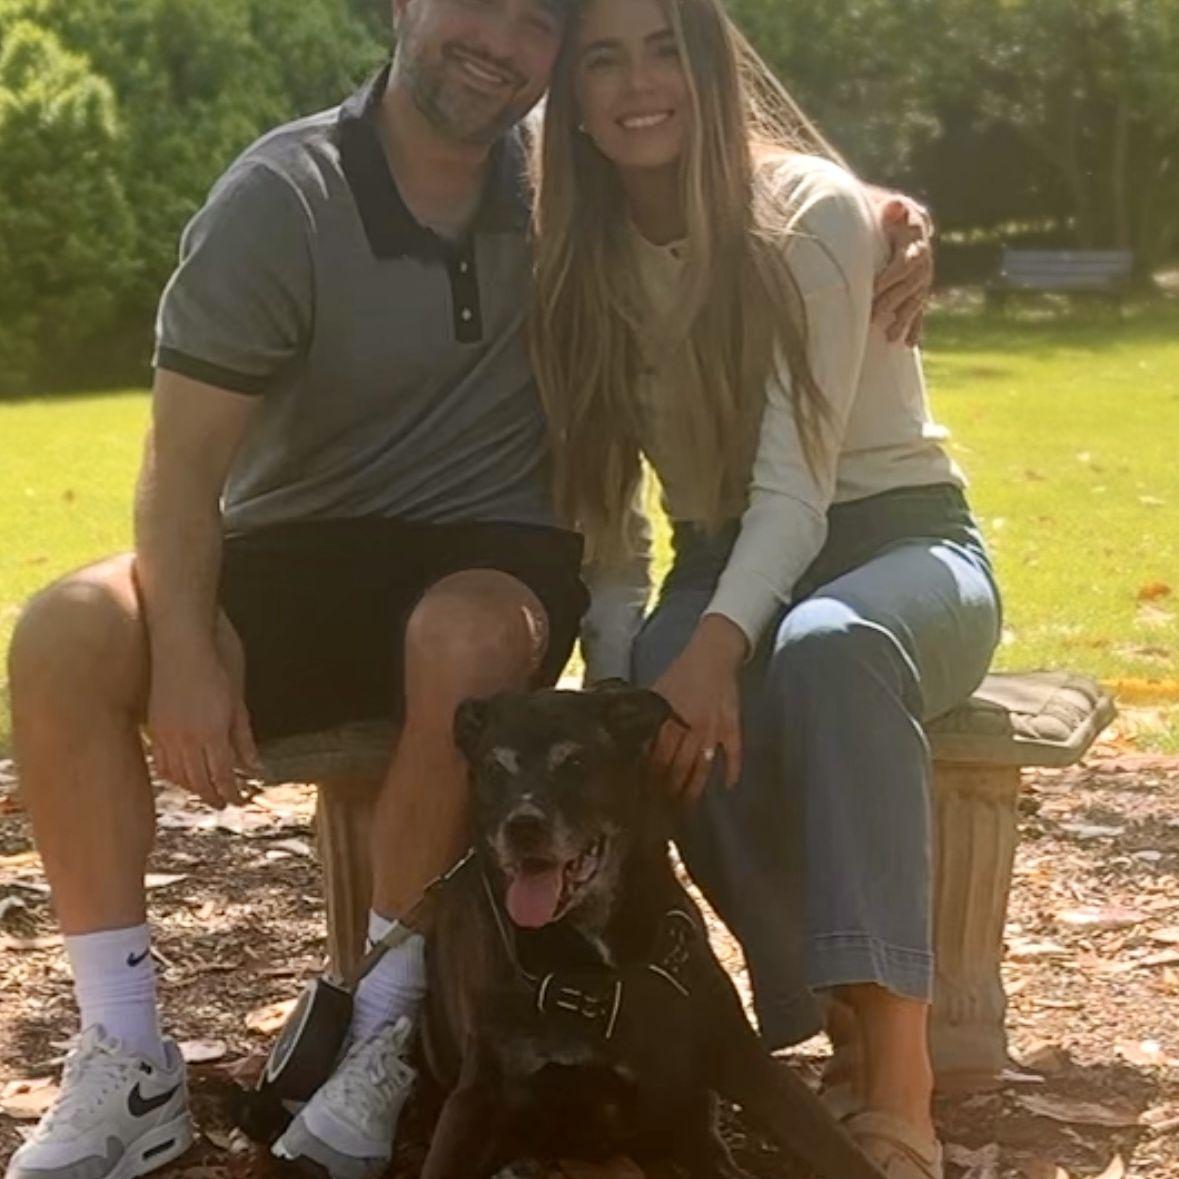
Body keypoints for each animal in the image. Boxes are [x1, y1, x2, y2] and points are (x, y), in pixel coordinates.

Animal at [416, 681, 886, 1179]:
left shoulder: (746, 1061)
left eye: (575, 763)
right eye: (493, 768)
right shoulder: (477, 1096)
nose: (522, 827)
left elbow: (836, 1151)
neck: (598, 965)